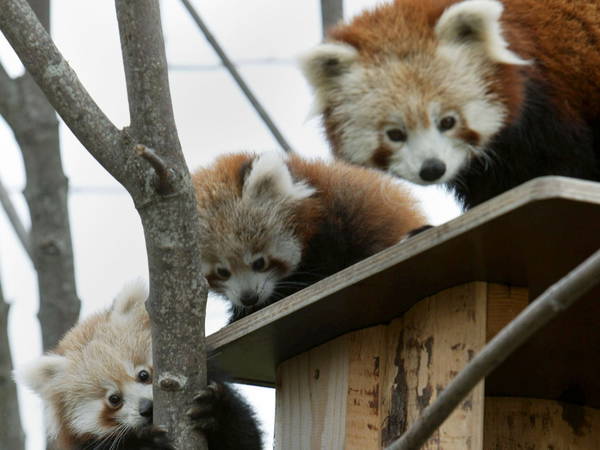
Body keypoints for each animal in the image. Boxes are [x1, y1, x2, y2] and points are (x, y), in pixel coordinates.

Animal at [14, 282, 260, 450]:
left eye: (143, 375)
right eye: (114, 399)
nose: (147, 408)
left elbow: (245, 438)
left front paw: (214, 410)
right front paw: (146, 443)